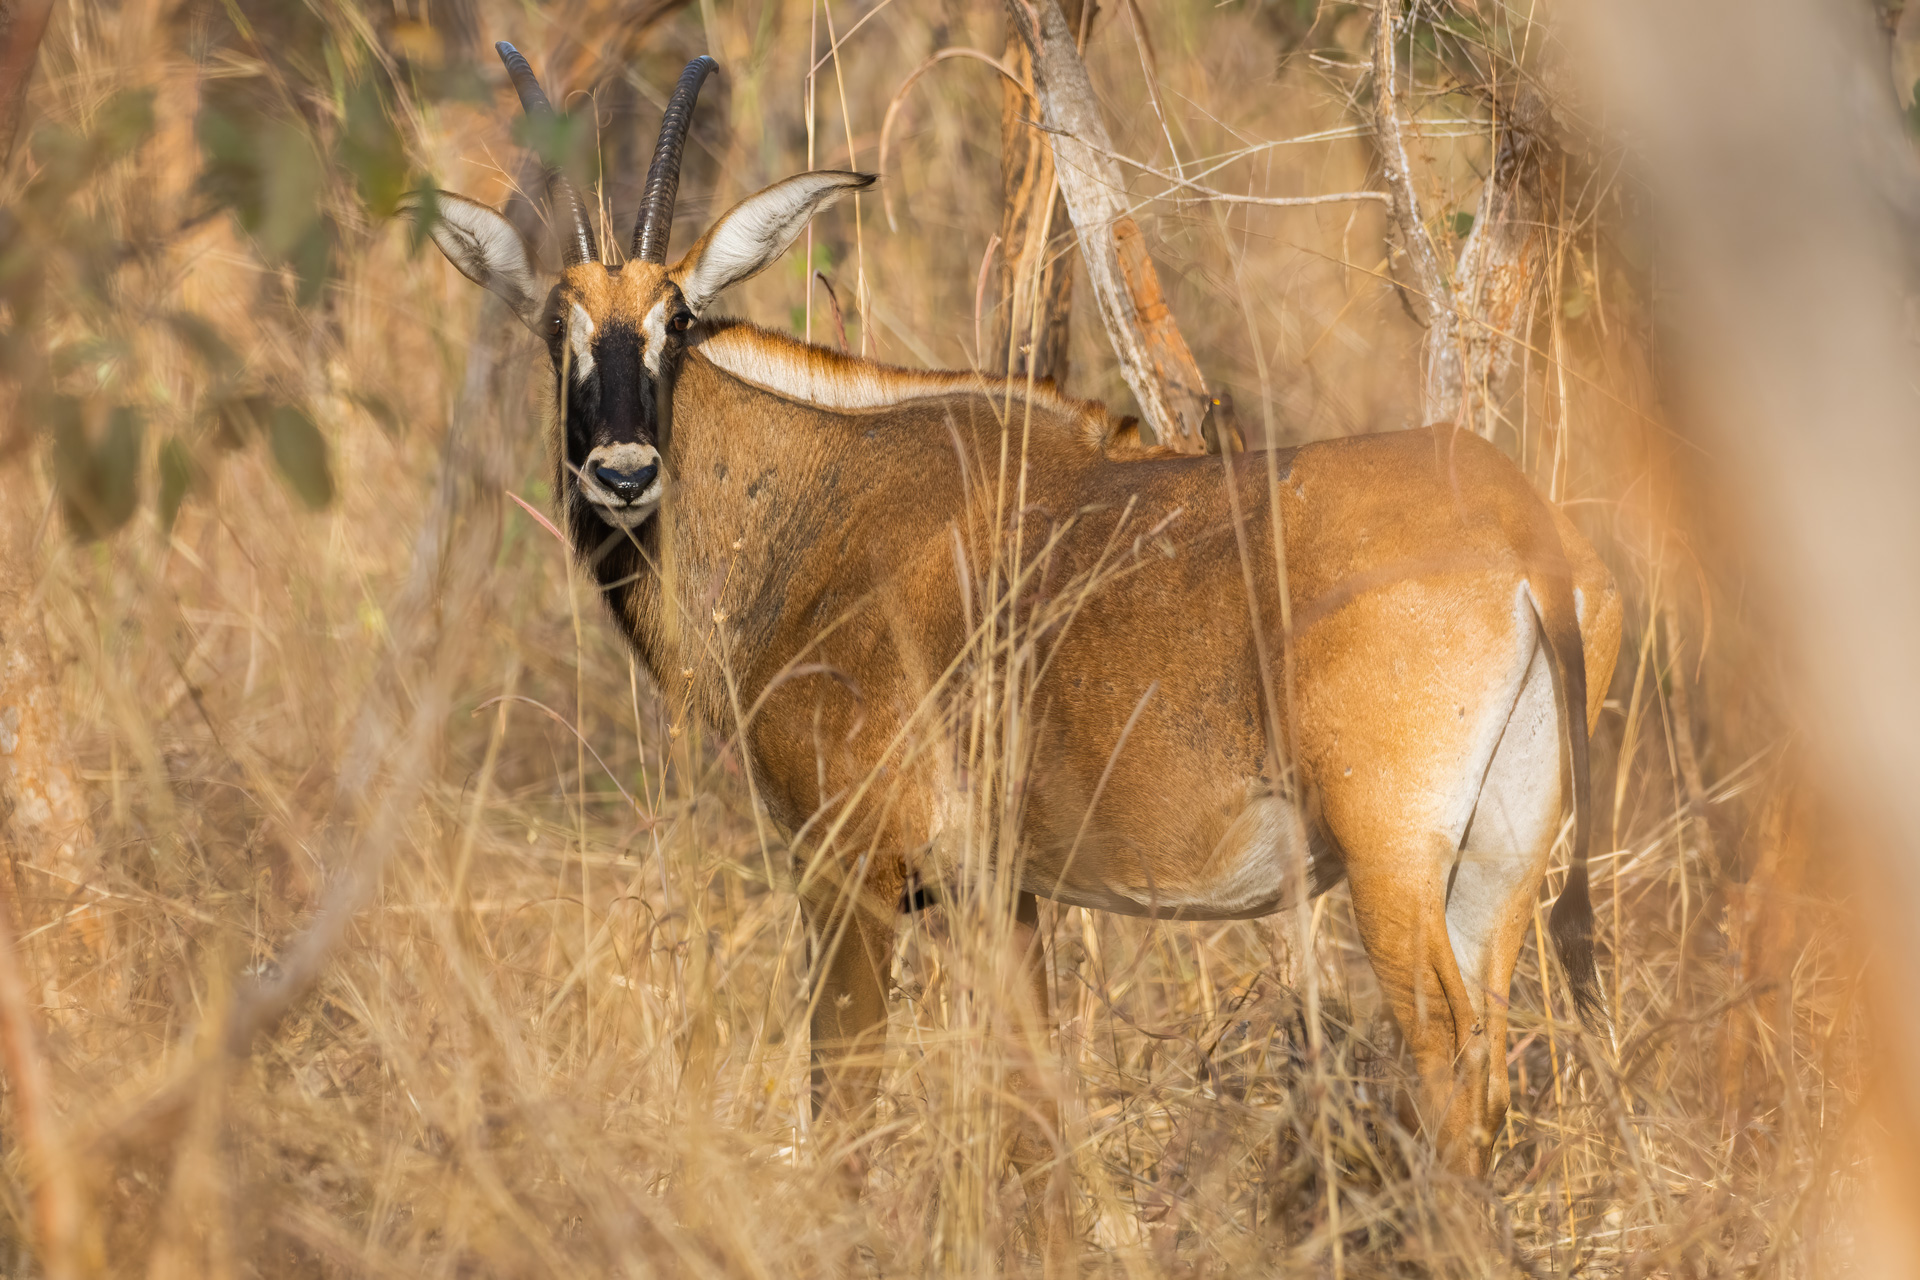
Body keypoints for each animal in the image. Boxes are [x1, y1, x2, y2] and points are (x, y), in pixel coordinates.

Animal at [416, 42, 1620, 1212]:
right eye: (555, 325)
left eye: (677, 320)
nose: (623, 471)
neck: (818, 501)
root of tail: (1526, 535)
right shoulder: (1003, 891)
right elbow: (1036, 1120)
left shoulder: (849, 869)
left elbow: (842, 1103)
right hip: (1498, 864)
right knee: (1487, 1064)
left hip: (1394, 858)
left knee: (1449, 1059)